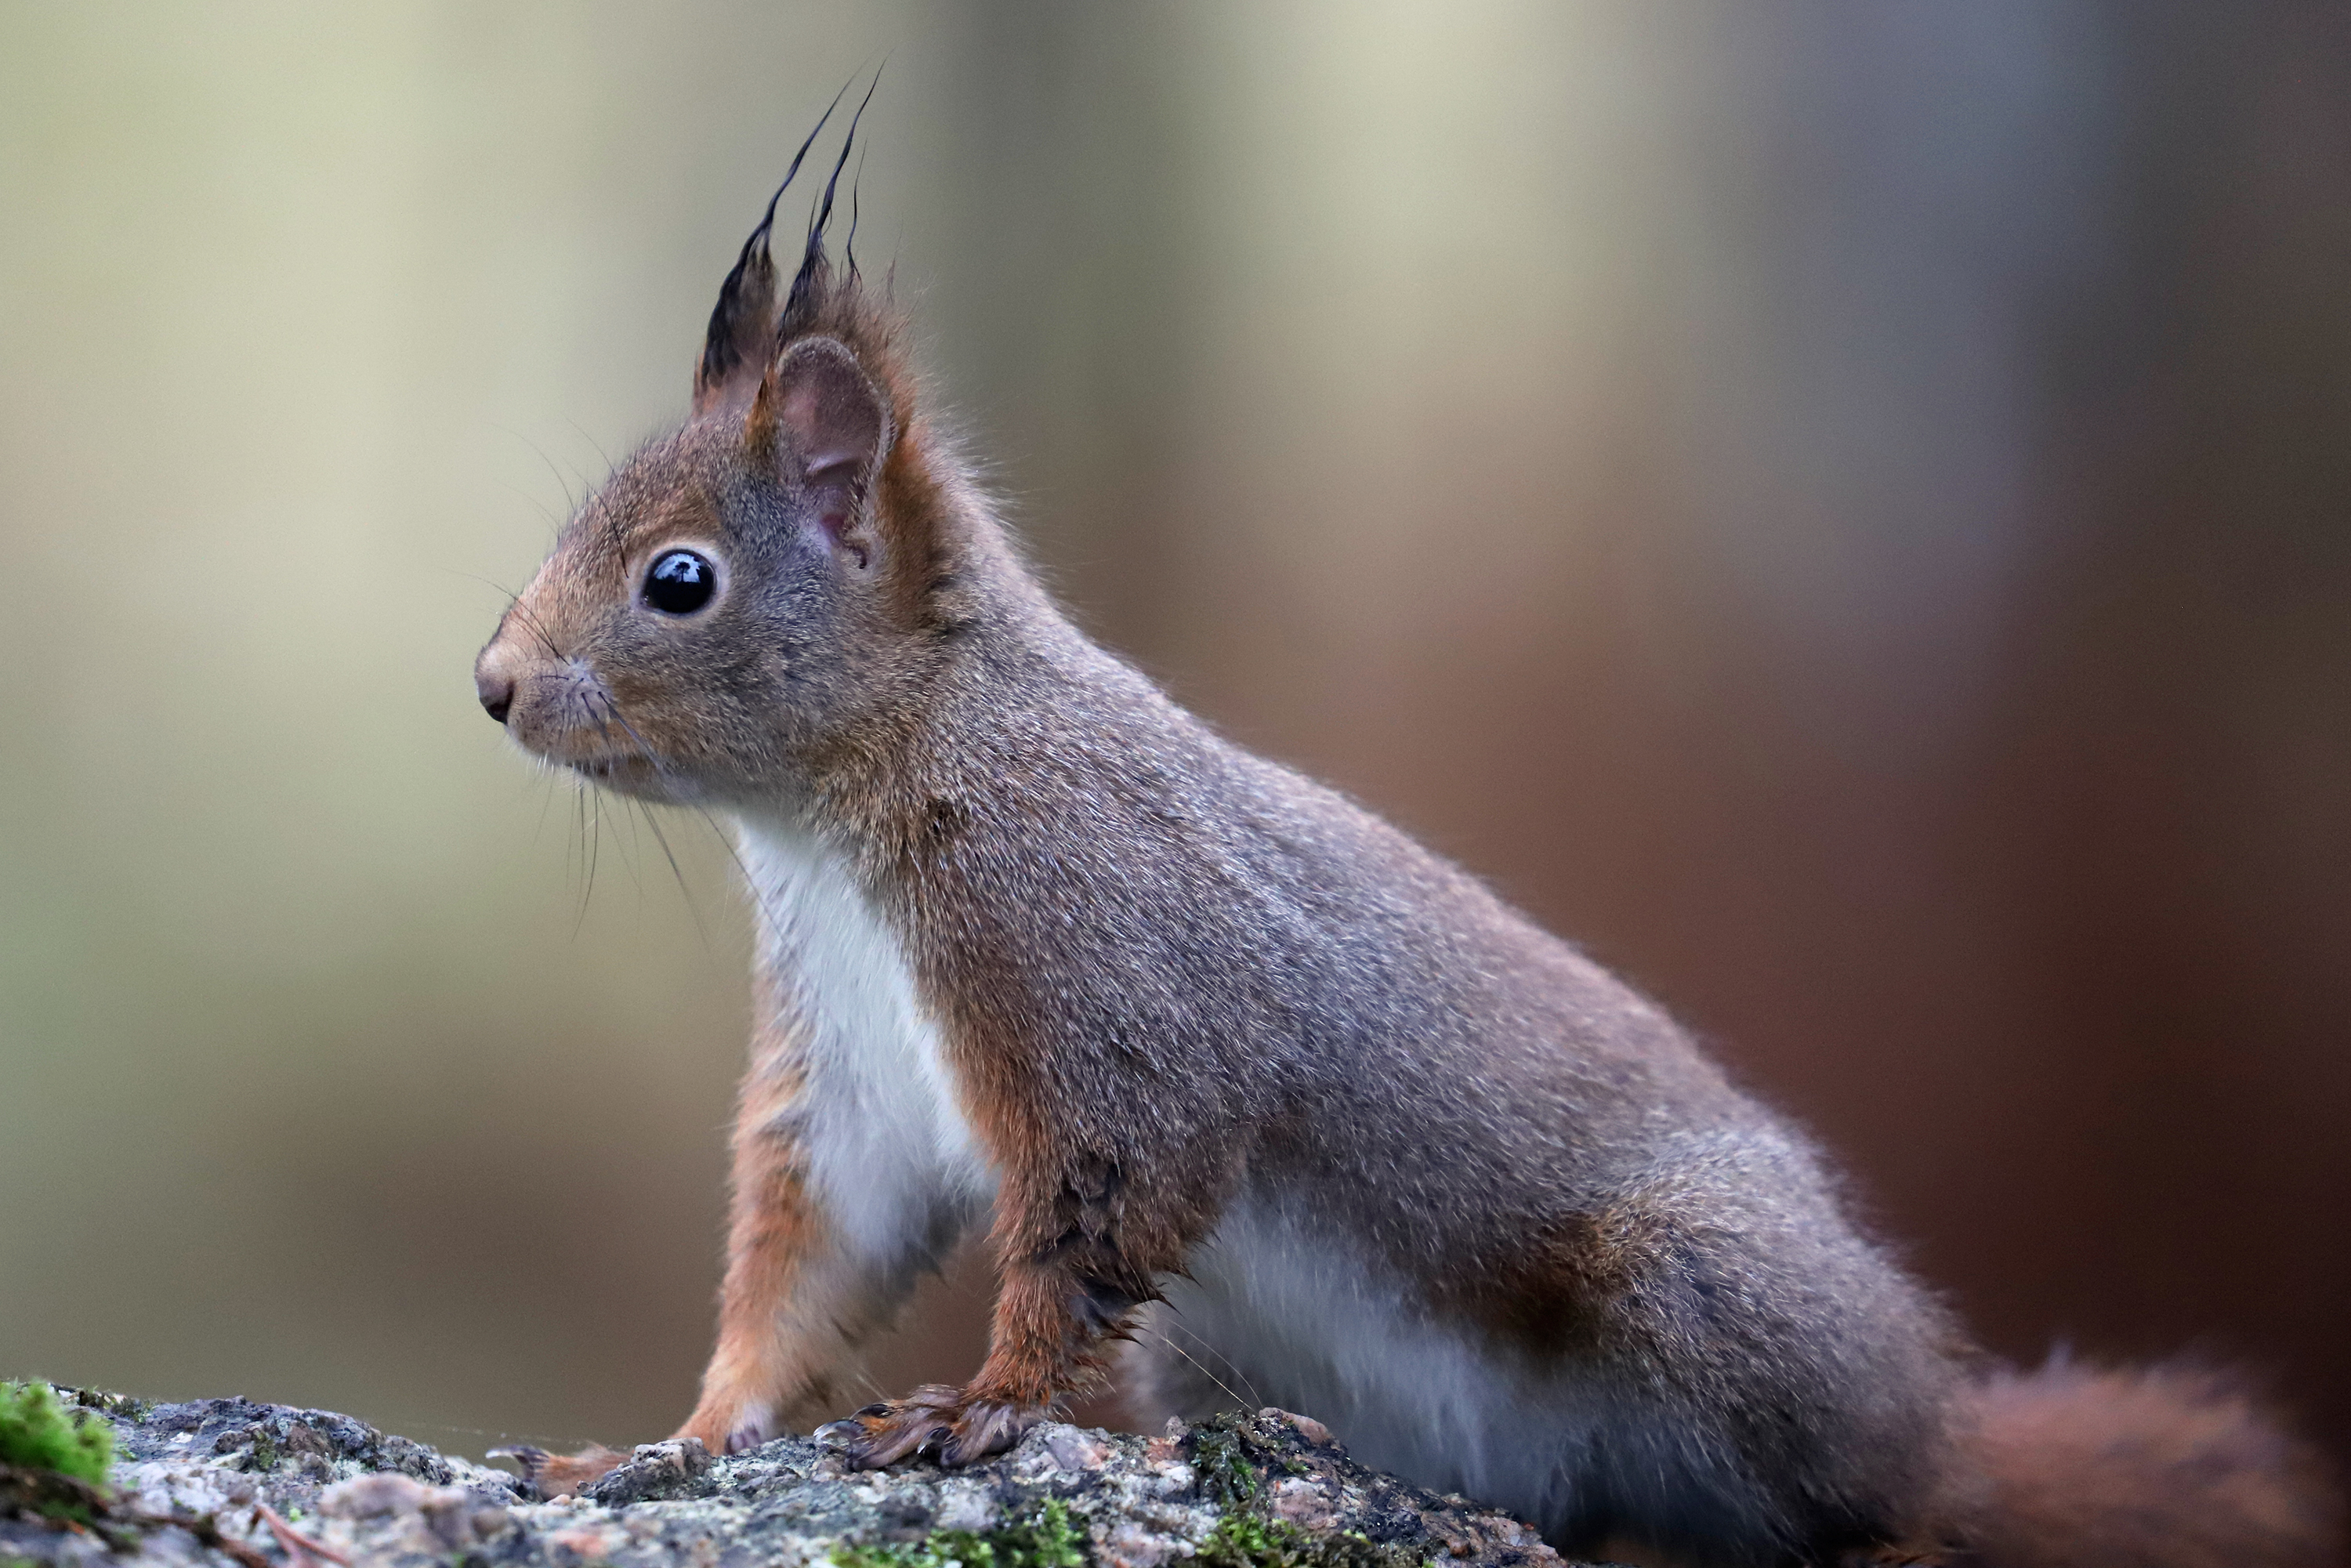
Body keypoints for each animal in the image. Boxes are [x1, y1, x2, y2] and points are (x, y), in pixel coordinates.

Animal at [473, 113, 2332, 1568]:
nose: (491, 686)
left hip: (1705, 1286)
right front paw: (669, 1439)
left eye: (681, 579)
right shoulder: (851, 1073)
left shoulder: (1099, 966)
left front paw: (980, 1412)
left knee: (1855, 1496)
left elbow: (1096, 1216)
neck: (851, 814)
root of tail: (1934, 1413)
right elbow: (809, 1263)